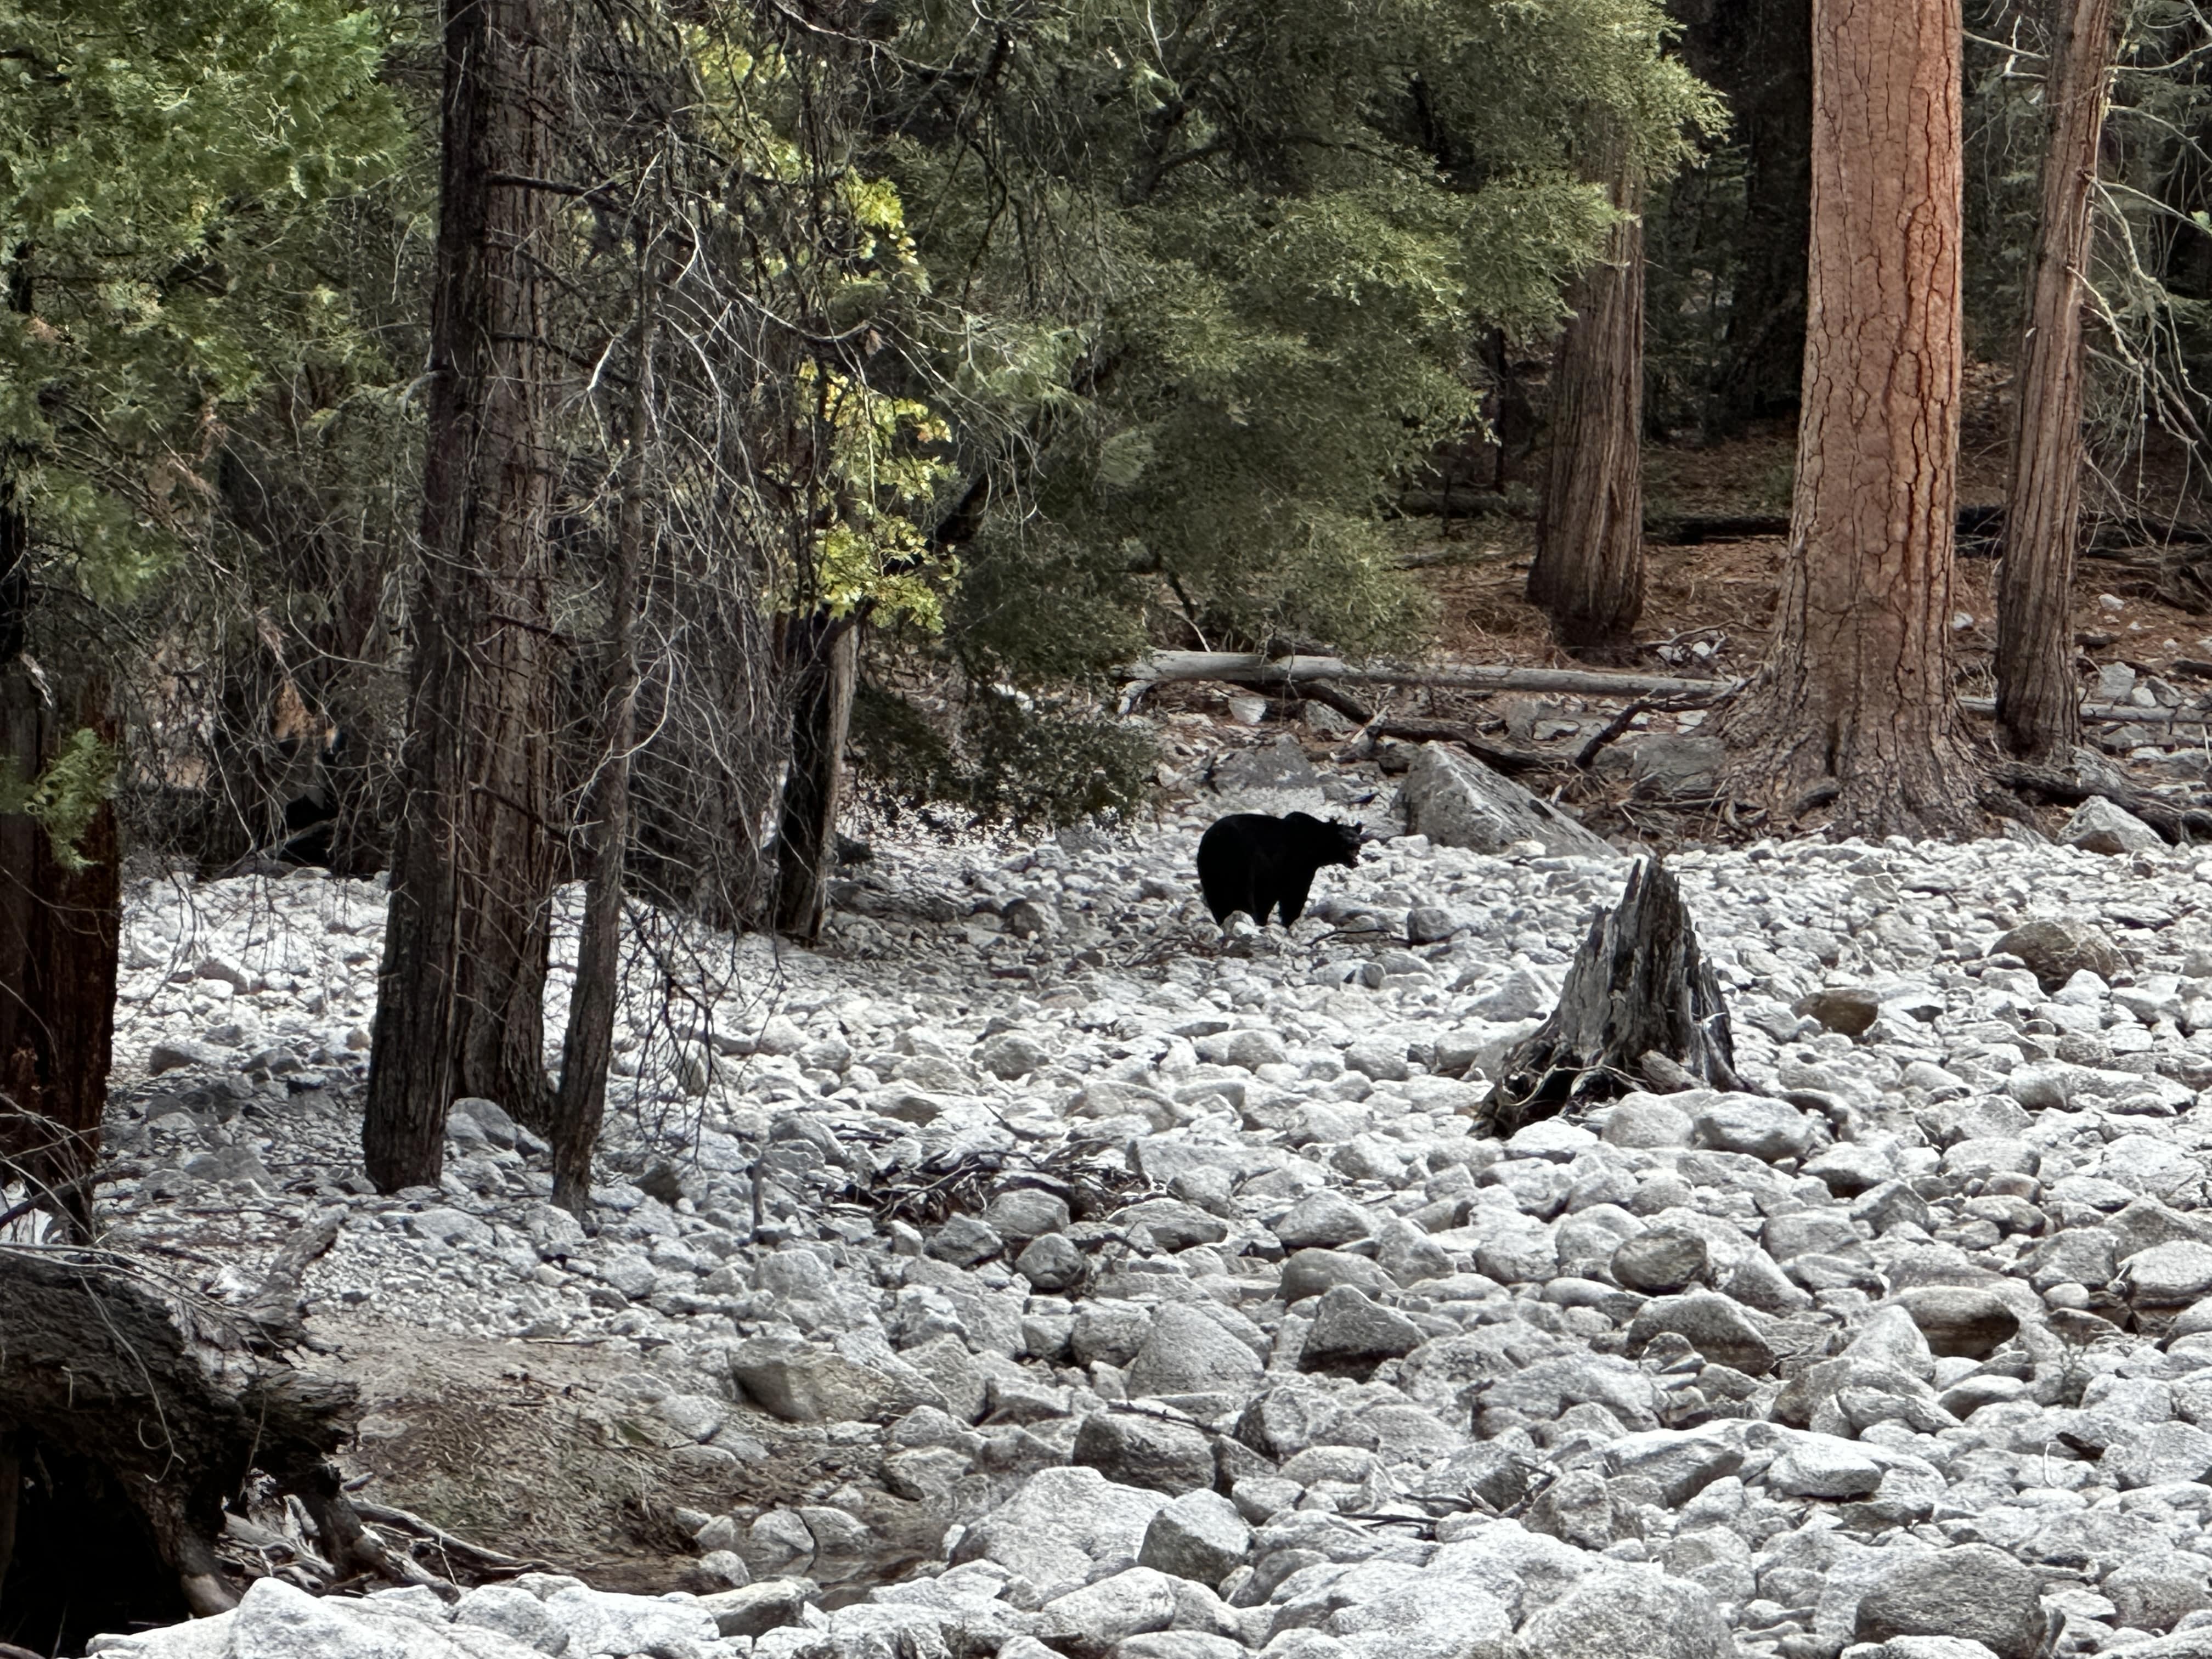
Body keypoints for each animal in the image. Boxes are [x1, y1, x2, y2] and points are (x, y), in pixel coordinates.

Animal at [1194, 814, 1362, 929]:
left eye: (1357, 835)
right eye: (1342, 837)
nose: (1356, 843)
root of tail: (1219, 841)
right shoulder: (1292, 865)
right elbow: (1293, 895)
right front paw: (1287, 921)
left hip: (1210, 867)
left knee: (1218, 895)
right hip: (1241, 863)